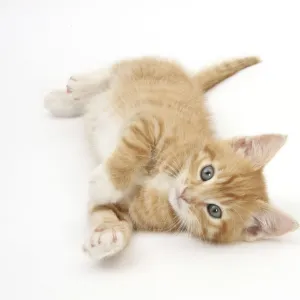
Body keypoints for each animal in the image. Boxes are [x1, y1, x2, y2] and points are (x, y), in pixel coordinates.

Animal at [44, 56, 298, 260]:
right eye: (207, 172)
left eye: (214, 211)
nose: (185, 194)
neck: (167, 182)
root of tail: (191, 81)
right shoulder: (152, 124)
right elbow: (135, 147)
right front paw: (105, 181)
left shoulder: (131, 208)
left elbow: (104, 209)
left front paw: (108, 236)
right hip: (149, 70)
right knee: (119, 67)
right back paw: (79, 85)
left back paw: (63, 101)